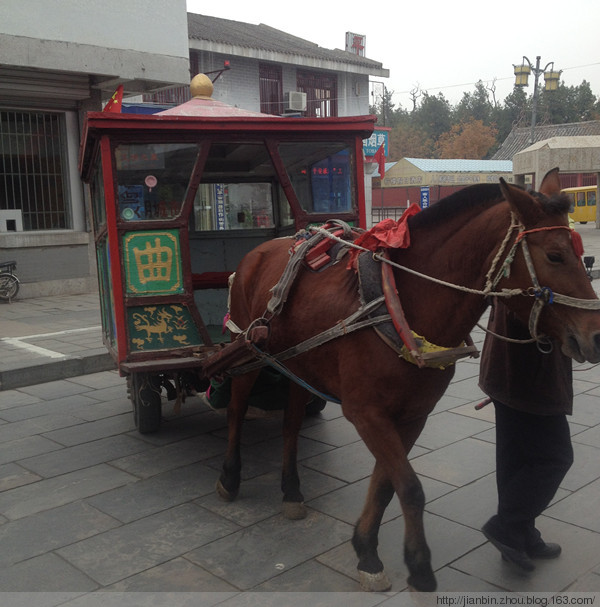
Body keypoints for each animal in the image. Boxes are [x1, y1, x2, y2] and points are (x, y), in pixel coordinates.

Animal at [211, 170, 600, 592]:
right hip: (248, 348)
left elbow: (387, 485)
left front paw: (366, 548)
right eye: (555, 256)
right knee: (235, 410)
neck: (401, 306)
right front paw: (419, 566)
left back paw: (292, 490)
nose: (596, 336)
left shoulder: (413, 414)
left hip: (297, 363)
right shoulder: (365, 413)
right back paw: (230, 477)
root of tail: (259, 251)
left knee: (291, 424)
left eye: (582, 255)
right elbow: (410, 488)